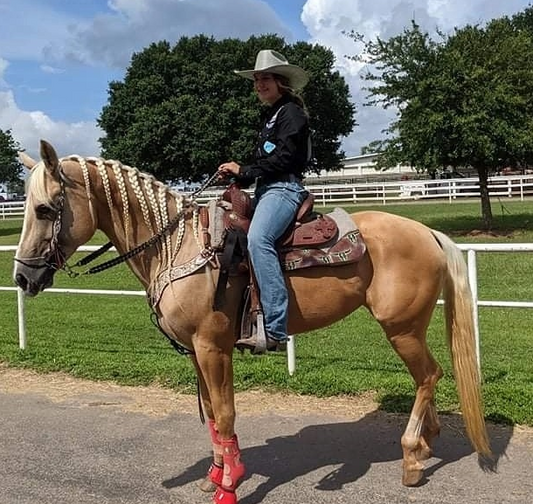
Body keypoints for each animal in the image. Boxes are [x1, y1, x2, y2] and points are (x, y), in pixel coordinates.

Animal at [14, 140, 488, 502]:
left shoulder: (213, 348)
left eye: (44, 210)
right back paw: (426, 446)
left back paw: (411, 456)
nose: (22, 277)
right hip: (409, 328)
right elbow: (211, 415)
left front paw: (229, 486)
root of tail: (427, 232)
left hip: (401, 328)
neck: (179, 245)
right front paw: (217, 476)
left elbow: (225, 414)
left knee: (429, 375)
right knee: (428, 377)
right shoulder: (196, 353)